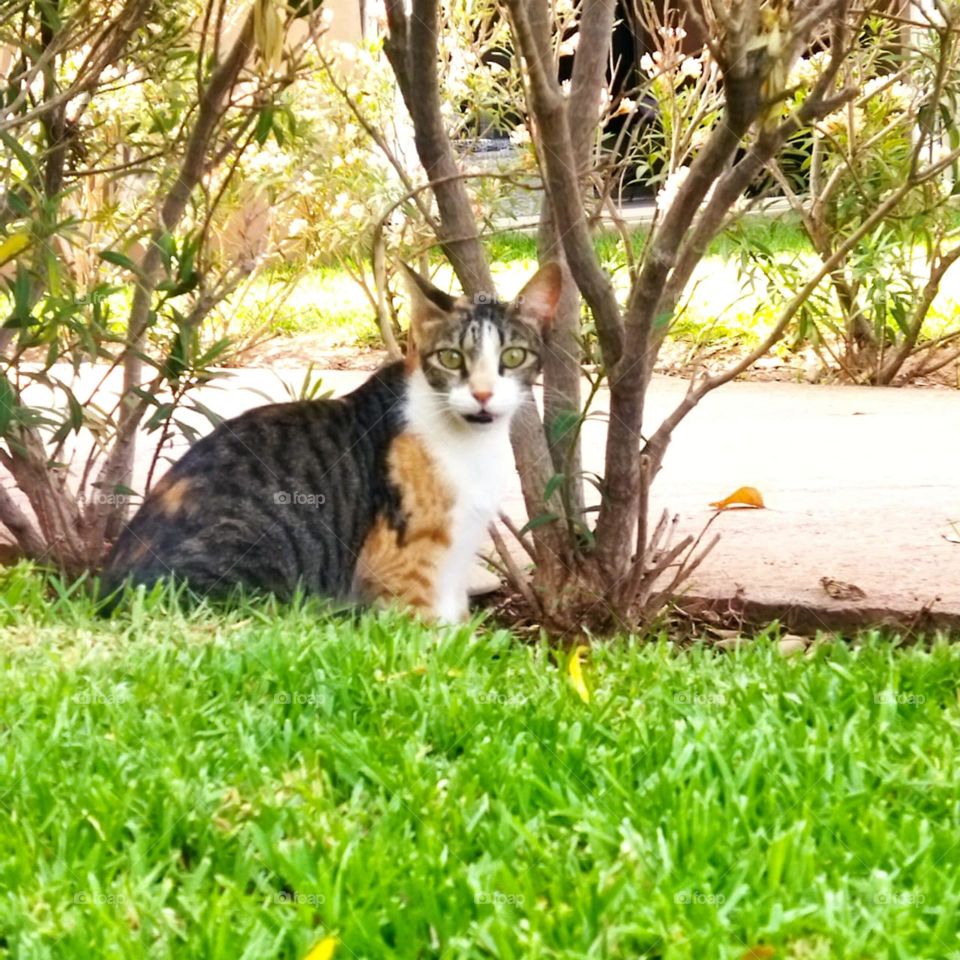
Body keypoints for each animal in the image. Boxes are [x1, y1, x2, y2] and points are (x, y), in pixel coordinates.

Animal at [100, 262, 560, 624]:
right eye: (451, 358)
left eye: (513, 357)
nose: (482, 394)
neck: (471, 445)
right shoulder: (404, 572)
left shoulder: (453, 567)